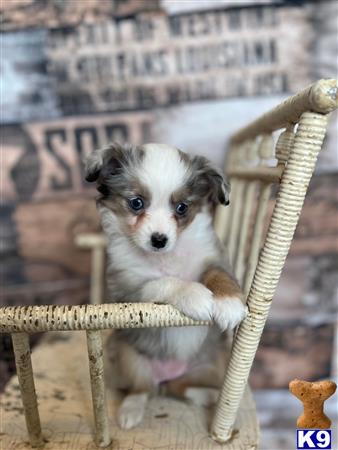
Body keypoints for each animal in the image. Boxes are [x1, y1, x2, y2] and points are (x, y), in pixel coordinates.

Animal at [85, 143, 246, 428]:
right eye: (136, 203)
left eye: (182, 208)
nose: (159, 240)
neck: (165, 256)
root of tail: (166, 374)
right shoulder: (128, 289)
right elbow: (163, 281)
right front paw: (194, 295)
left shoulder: (210, 258)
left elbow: (219, 275)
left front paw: (229, 303)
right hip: (129, 358)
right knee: (144, 388)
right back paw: (130, 410)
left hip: (211, 363)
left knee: (178, 387)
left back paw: (207, 395)